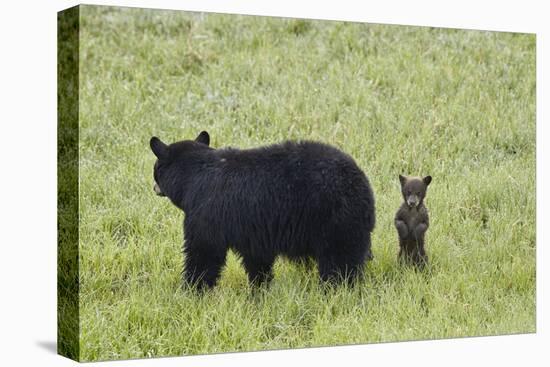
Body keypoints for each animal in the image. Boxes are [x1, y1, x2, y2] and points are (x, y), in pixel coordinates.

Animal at [149, 131, 378, 288]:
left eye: (155, 170)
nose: (154, 188)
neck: (194, 176)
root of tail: (363, 186)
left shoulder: (206, 212)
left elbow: (203, 252)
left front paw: (192, 289)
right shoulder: (253, 228)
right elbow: (257, 259)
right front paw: (260, 288)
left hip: (336, 221)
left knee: (340, 263)